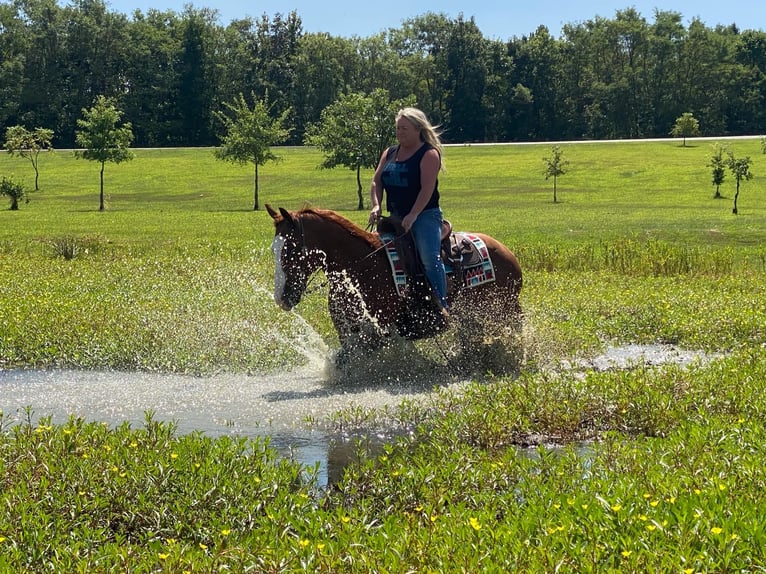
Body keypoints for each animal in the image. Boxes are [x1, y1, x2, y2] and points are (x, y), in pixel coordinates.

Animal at [268, 207, 524, 358]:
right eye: (273, 249)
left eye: (291, 249)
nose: (281, 298)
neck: (360, 266)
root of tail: (506, 253)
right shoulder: (348, 331)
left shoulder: (384, 328)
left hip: (504, 309)